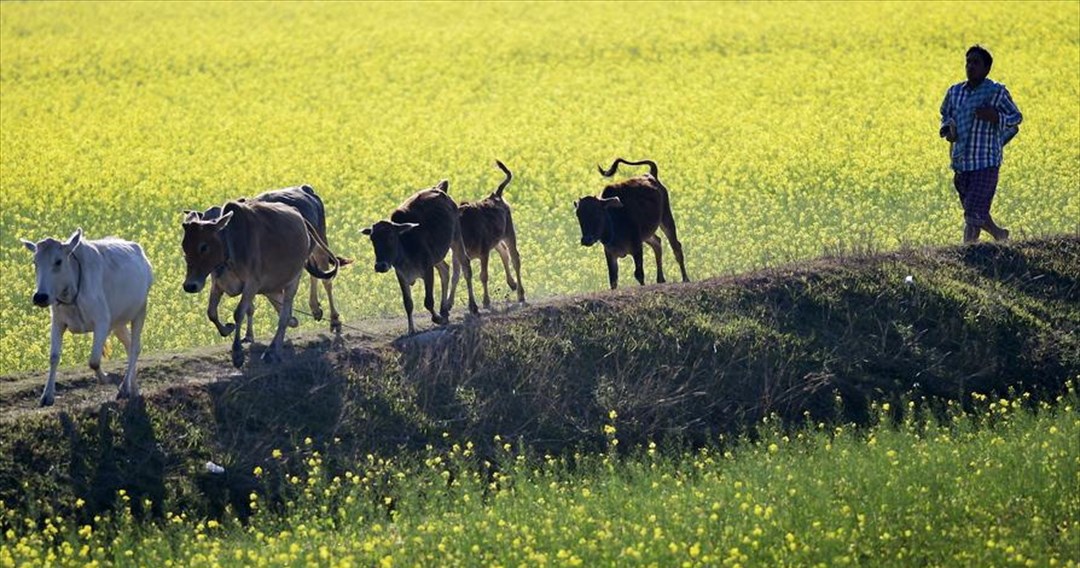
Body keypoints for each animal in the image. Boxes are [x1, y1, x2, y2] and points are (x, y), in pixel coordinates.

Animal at [19, 228, 154, 408]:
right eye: (35, 262)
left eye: (58, 261)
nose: (40, 297)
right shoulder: (57, 322)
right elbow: (54, 357)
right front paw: (47, 396)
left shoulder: (102, 322)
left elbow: (94, 360)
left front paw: (106, 378)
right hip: (118, 323)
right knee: (129, 345)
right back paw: (133, 389)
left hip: (140, 312)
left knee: (135, 348)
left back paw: (124, 388)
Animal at [181, 200, 339, 369]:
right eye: (184, 247)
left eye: (203, 247)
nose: (189, 286)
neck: (231, 246)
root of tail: (300, 217)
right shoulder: (218, 284)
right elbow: (211, 312)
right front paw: (227, 329)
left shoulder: (252, 284)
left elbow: (239, 313)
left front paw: (237, 353)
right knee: (284, 309)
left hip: (294, 278)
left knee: (284, 314)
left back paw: (273, 350)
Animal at [360, 180, 479, 336]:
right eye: (372, 239)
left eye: (391, 237)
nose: (380, 266)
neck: (406, 247)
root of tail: (440, 189)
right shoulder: (401, 275)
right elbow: (408, 304)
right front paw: (411, 329)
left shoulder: (428, 270)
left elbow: (428, 301)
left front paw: (437, 319)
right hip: (438, 255)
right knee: (445, 270)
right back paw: (444, 310)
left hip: (456, 239)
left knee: (466, 268)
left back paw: (472, 307)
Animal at [457, 159, 524, 308]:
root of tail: (496, 195)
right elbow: (467, 275)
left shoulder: (484, 252)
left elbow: (483, 275)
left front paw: (486, 302)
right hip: (496, 240)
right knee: (504, 253)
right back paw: (512, 284)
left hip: (509, 234)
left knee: (515, 259)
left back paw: (521, 295)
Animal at [574, 157, 691, 289]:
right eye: (578, 215)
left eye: (598, 213)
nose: (586, 240)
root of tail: (651, 175)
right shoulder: (610, 253)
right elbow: (613, 279)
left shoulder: (637, 247)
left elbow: (639, 274)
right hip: (647, 234)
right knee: (657, 243)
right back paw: (660, 279)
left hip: (666, 220)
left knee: (676, 248)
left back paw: (685, 279)